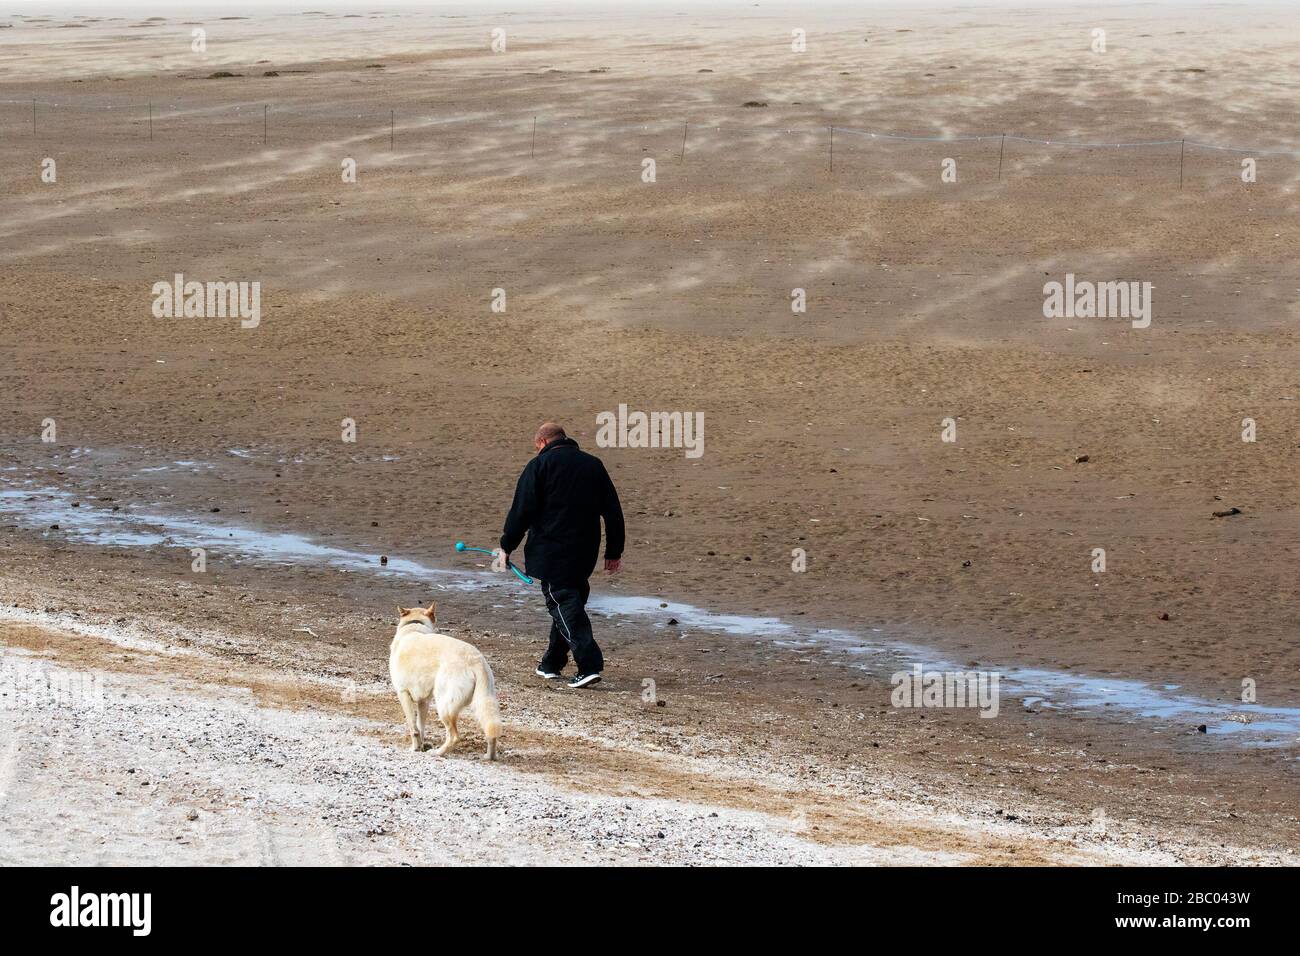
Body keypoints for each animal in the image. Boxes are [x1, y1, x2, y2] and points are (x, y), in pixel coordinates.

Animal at [387, 600, 499, 759]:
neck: (414, 626)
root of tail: (475, 661)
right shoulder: (424, 701)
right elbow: (420, 727)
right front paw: (421, 746)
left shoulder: (403, 694)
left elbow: (413, 728)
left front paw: (415, 748)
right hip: (483, 701)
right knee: (491, 731)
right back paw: (490, 756)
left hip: (444, 706)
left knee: (454, 736)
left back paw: (438, 752)